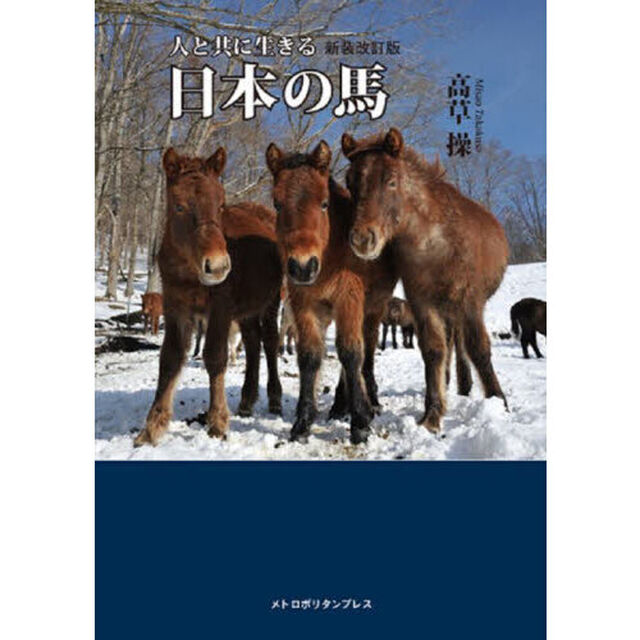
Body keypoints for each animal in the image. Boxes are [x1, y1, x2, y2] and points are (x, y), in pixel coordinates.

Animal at [134, 147, 283, 446]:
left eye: (221, 205)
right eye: (179, 207)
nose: (218, 266)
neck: (188, 270)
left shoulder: (220, 309)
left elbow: (215, 356)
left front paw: (217, 422)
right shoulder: (175, 308)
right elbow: (170, 359)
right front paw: (153, 427)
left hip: (271, 301)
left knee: (270, 342)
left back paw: (274, 398)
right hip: (246, 310)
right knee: (252, 343)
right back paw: (247, 400)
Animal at [266, 140, 397, 444]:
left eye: (324, 203)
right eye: (277, 204)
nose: (302, 267)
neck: (330, 255)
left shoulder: (348, 299)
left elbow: (350, 353)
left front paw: (360, 422)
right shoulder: (304, 305)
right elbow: (309, 356)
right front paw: (303, 422)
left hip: (372, 310)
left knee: (365, 352)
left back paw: (368, 403)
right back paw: (340, 406)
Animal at [341, 128, 509, 435]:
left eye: (391, 181)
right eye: (350, 182)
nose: (361, 239)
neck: (435, 244)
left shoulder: (470, 300)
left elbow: (479, 348)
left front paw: (499, 403)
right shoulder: (422, 301)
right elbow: (432, 350)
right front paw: (433, 414)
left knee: (462, 346)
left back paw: (466, 386)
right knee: (451, 344)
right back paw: (454, 384)